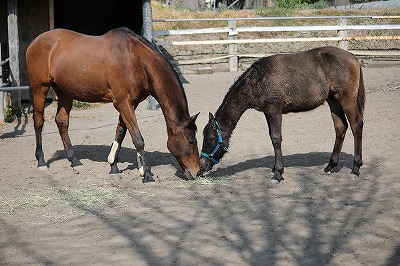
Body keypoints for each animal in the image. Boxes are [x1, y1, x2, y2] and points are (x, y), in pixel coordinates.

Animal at [25, 27, 200, 183]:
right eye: (191, 141)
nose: (197, 172)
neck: (136, 60)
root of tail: (35, 41)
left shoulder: (130, 104)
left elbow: (121, 133)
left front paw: (114, 167)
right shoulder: (123, 103)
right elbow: (138, 139)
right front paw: (147, 176)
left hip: (64, 92)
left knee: (62, 121)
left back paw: (75, 161)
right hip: (39, 89)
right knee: (38, 122)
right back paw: (41, 161)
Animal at [200, 46, 366, 183]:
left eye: (209, 140)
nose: (201, 166)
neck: (258, 80)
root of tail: (353, 57)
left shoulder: (275, 110)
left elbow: (276, 138)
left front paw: (278, 173)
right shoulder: (268, 112)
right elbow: (271, 137)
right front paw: (275, 168)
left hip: (347, 99)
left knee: (356, 126)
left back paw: (355, 169)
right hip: (333, 100)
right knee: (340, 127)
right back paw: (330, 166)